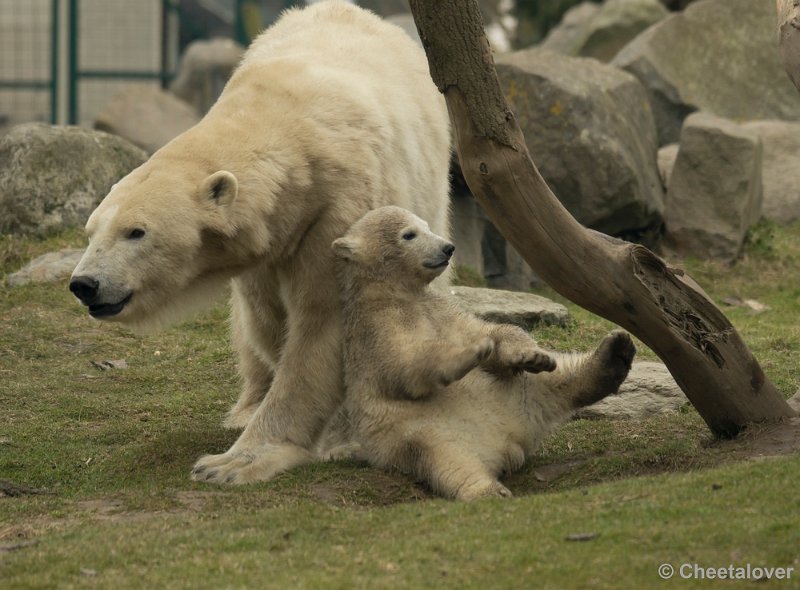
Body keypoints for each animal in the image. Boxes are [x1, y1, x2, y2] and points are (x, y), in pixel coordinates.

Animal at [70, 1, 450, 486]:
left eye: (136, 231)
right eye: (92, 230)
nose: (85, 284)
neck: (287, 121)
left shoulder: (341, 207)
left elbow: (325, 320)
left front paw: (233, 463)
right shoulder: (267, 244)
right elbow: (271, 320)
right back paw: (245, 407)